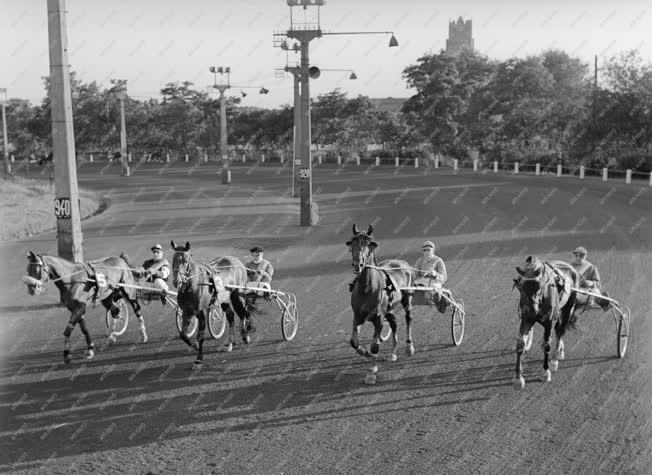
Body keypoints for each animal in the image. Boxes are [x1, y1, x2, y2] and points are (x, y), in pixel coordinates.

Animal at [169, 240, 251, 370]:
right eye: (174, 259)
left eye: (185, 261)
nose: (177, 281)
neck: (193, 285)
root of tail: (236, 261)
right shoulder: (187, 311)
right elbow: (183, 335)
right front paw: (194, 345)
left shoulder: (201, 312)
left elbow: (200, 337)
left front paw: (198, 360)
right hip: (223, 299)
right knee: (231, 316)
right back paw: (231, 343)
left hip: (238, 294)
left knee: (243, 312)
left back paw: (245, 336)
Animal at [346, 223, 412, 384]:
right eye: (352, 243)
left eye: (370, 244)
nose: (357, 264)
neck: (367, 288)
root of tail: (402, 263)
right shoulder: (358, 315)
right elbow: (353, 341)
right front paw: (364, 352)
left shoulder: (378, 318)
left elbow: (375, 345)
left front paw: (372, 372)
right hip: (388, 309)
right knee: (394, 322)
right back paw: (393, 353)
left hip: (406, 299)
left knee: (408, 318)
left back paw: (409, 347)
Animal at [512, 256, 580, 390]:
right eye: (521, 286)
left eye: (540, 285)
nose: (532, 309)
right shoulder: (526, 320)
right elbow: (520, 344)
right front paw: (518, 378)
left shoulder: (549, 322)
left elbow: (547, 345)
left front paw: (546, 371)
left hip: (568, 308)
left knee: (560, 331)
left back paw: (554, 359)